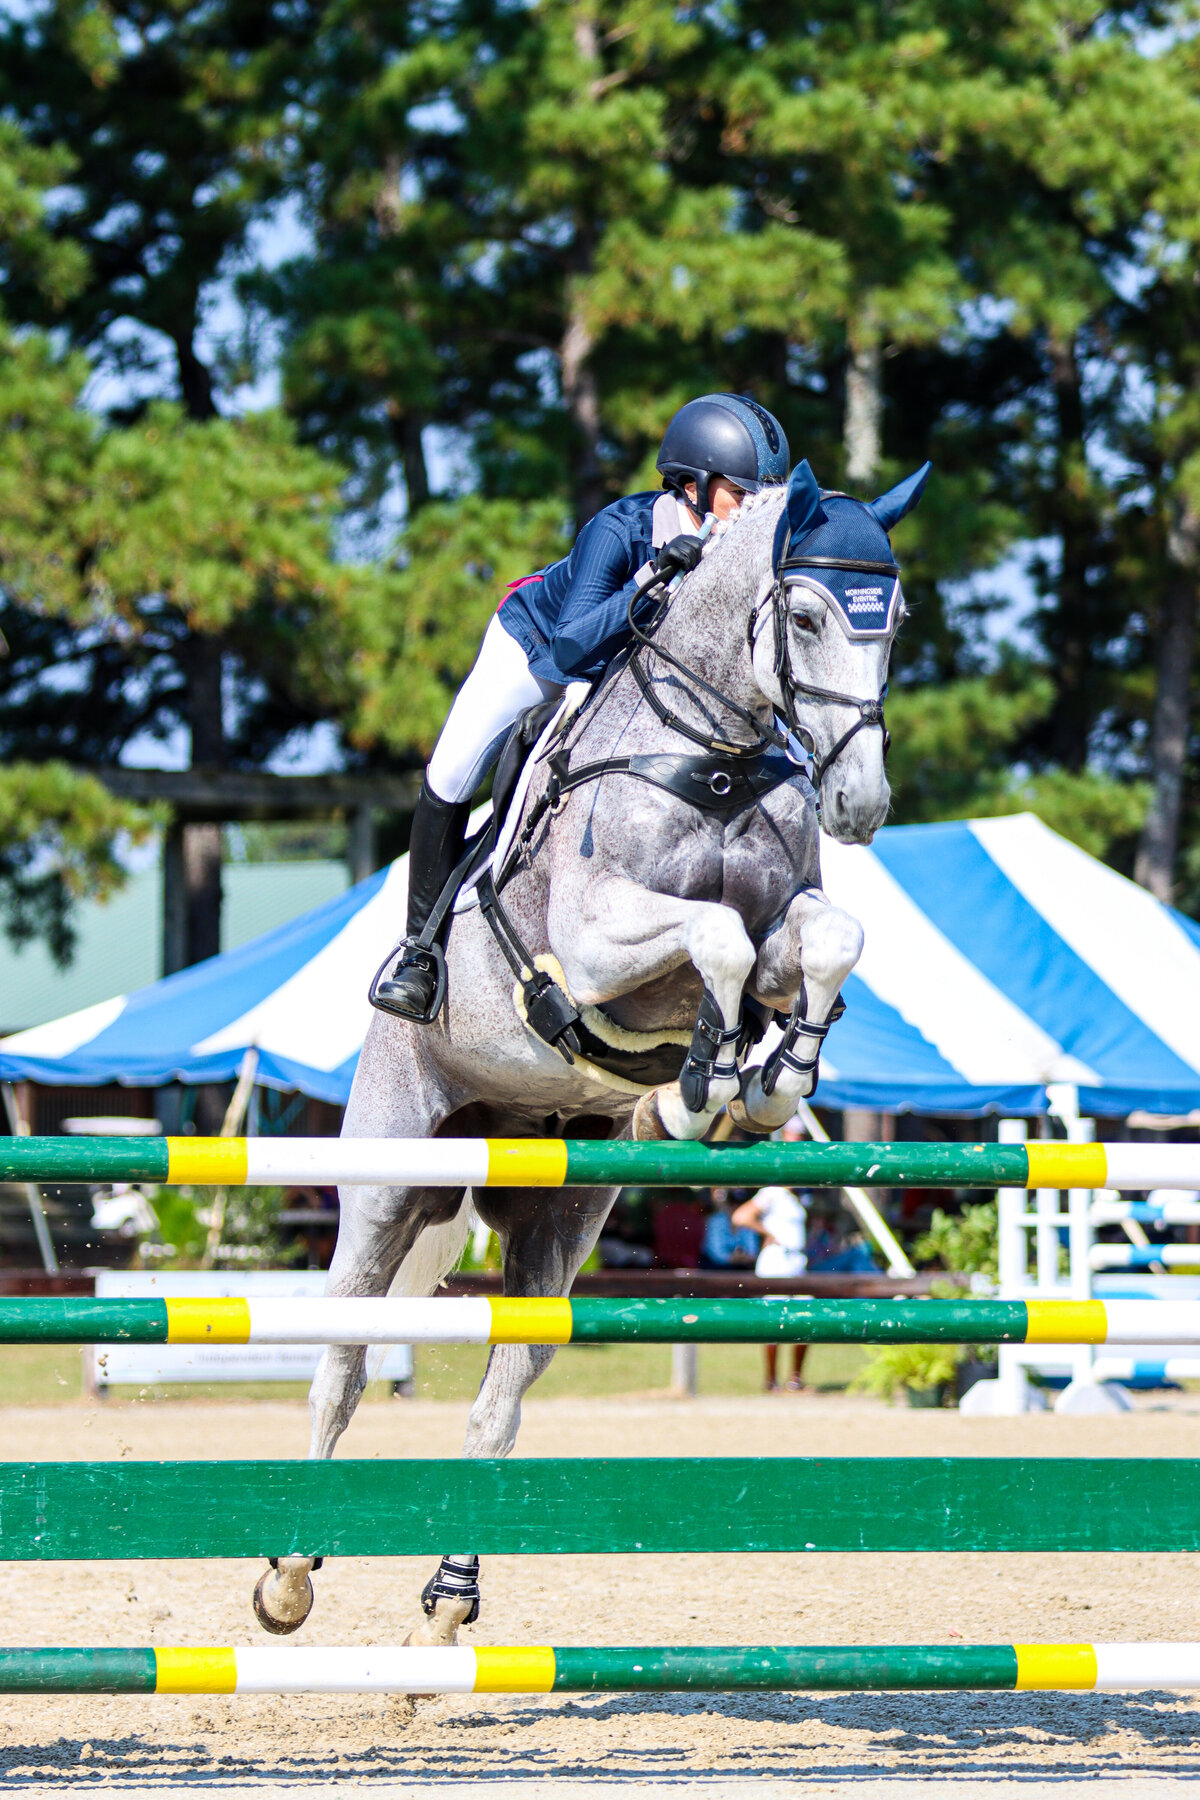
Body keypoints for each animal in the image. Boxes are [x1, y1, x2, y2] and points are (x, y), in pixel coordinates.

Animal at [252, 456, 929, 1638]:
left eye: (891, 621)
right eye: (805, 615)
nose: (860, 804)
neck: (713, 754)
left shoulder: (784, 926)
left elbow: (815, 939)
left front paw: (760, 1079)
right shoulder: (594, 942)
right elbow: (714, 936)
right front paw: (707, 1082)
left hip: (559, 1212)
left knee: (503, 1391)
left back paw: (450, 1598)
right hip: (389, 1175)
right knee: (341, 1358)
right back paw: (289, 1577)